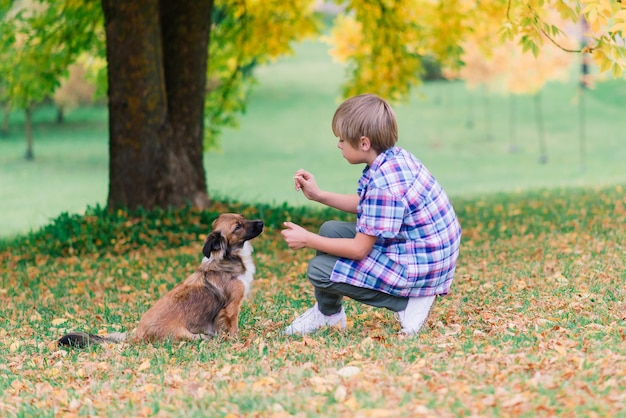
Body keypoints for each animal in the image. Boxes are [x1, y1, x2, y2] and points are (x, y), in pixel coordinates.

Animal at [58, 214, 264, 348]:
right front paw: (237, 341)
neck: (228, 259)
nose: (261, 222)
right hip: (188, 335)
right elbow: (232, 327)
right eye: (237, 227)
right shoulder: (231, 307)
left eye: (243, 217)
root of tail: (137, 336)